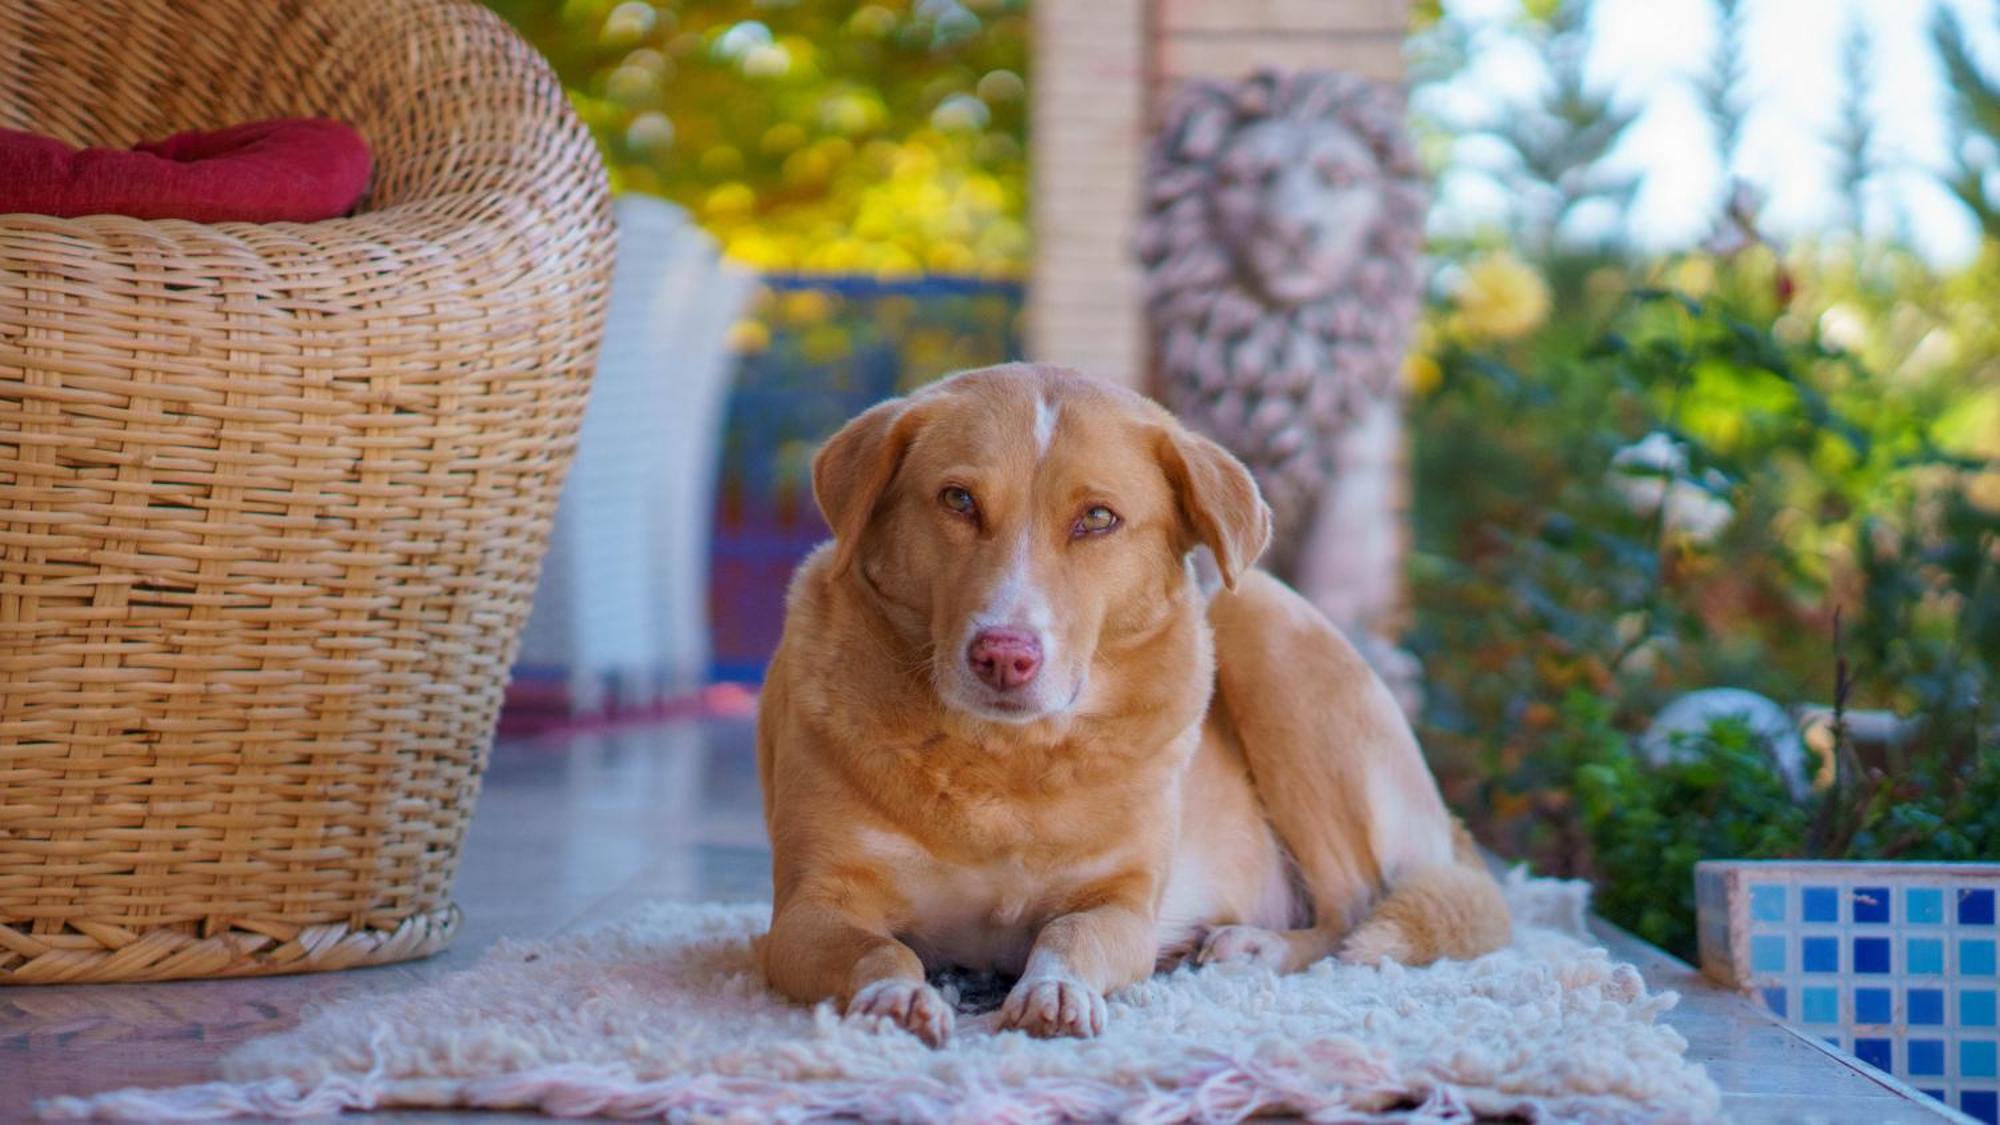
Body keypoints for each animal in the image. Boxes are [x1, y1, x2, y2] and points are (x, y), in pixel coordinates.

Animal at [752, 364, 1504, 1040]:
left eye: (1097, 518)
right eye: (958, 500)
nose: (1003, 654)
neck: (1007, 760)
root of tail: (1452, 829)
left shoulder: (1124, 903)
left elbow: (1071, 935)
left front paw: (1054, 990)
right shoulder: (808, 910)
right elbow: (881, 948)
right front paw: (897, 997)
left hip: (1260, 619)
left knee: (1351, 909)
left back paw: (1254, 947)